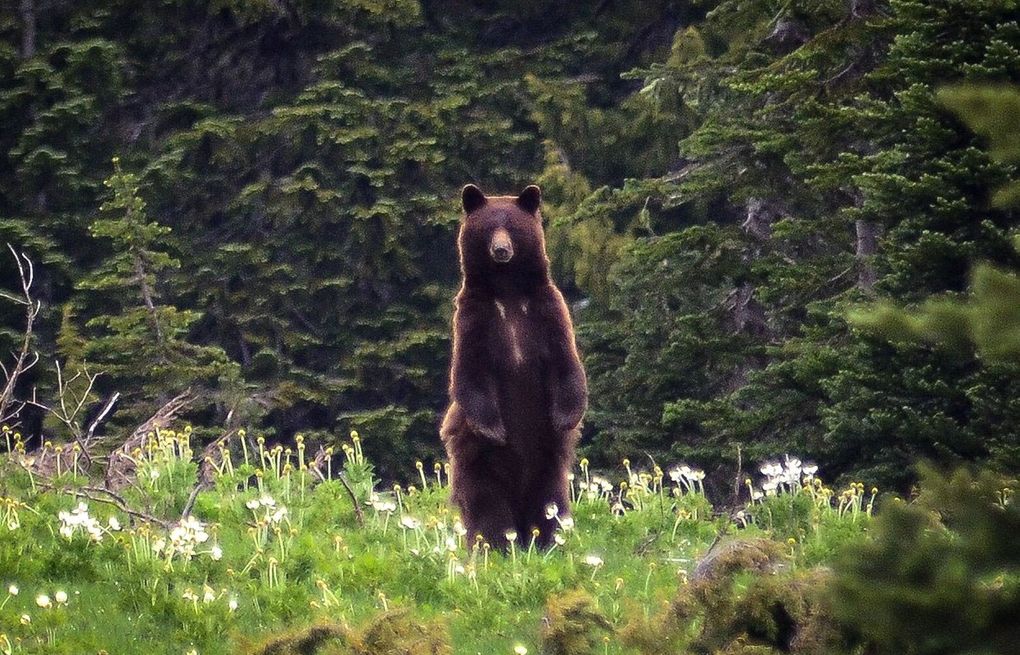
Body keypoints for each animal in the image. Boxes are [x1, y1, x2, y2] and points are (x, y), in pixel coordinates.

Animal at [440, 182, 587, 546]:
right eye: (489, 227)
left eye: (513, 227)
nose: (501, 249)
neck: (507, 293)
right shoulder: (475, 320)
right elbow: (469, 374)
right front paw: (495, 430)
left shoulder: (547, 312)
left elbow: (566, 363)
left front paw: (565, 418)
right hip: (477, 461)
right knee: (485, 504)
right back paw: (495, 544)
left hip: (547, 461)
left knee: (549, 501)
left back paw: (547, 540)